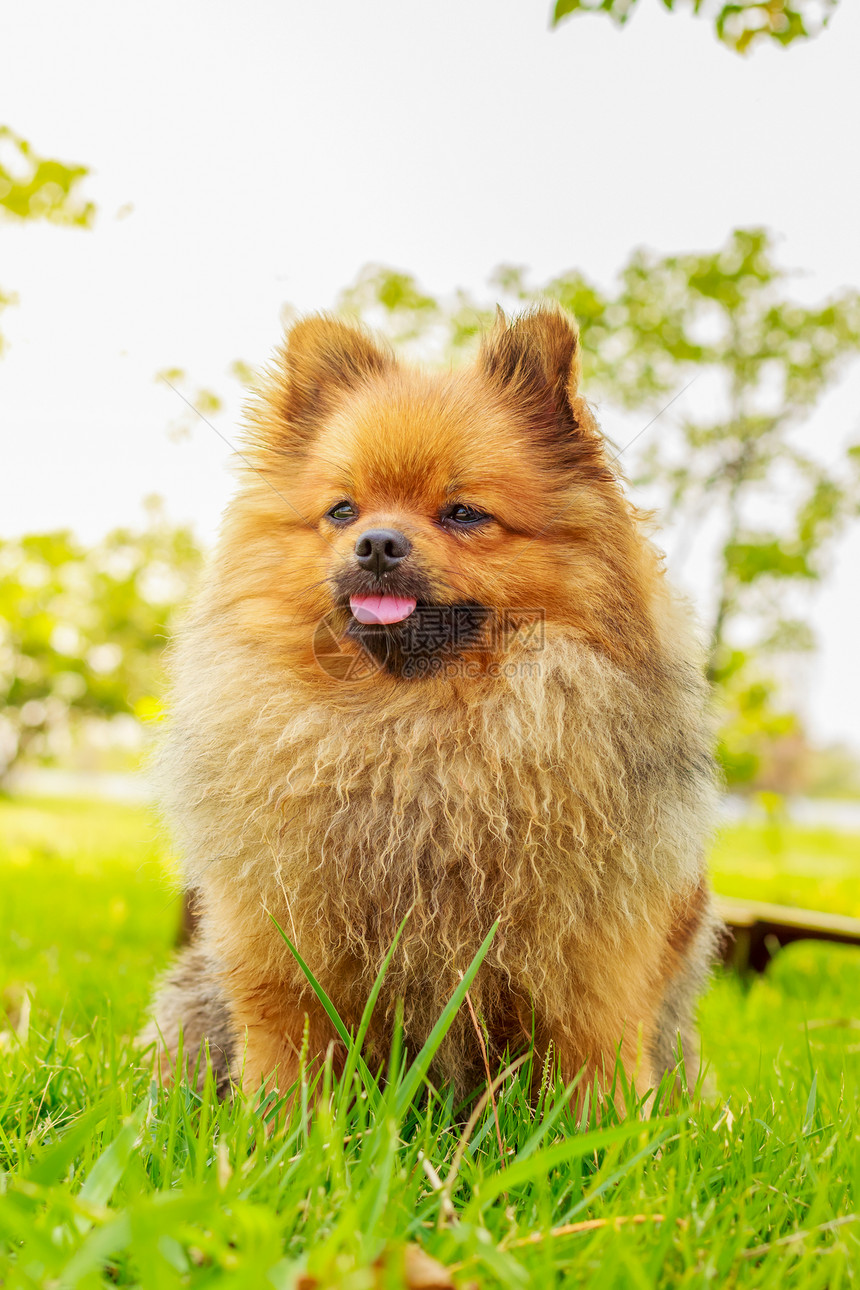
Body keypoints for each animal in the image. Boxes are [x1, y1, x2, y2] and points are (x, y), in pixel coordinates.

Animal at [149, 307, 722, 1104]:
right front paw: (277, 1127)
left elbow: (591, 1073)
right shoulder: (287, 959)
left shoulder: (593, 969)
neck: (414, 723)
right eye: (342, 510)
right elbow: (287, 1062)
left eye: (464, 513)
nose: (376, 543)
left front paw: (606, 1136)